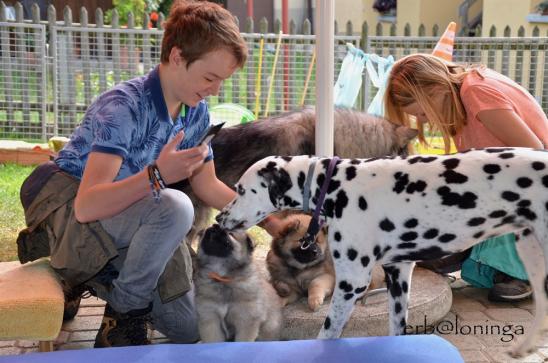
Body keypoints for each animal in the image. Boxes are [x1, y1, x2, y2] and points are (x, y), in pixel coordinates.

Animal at [216, 148, 548, 358]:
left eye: (241, 190)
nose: (219, 218)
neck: (334, 185)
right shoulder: (398, 275)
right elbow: (395, 330)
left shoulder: (351, 283)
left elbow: (326, 333)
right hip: (532, 254)